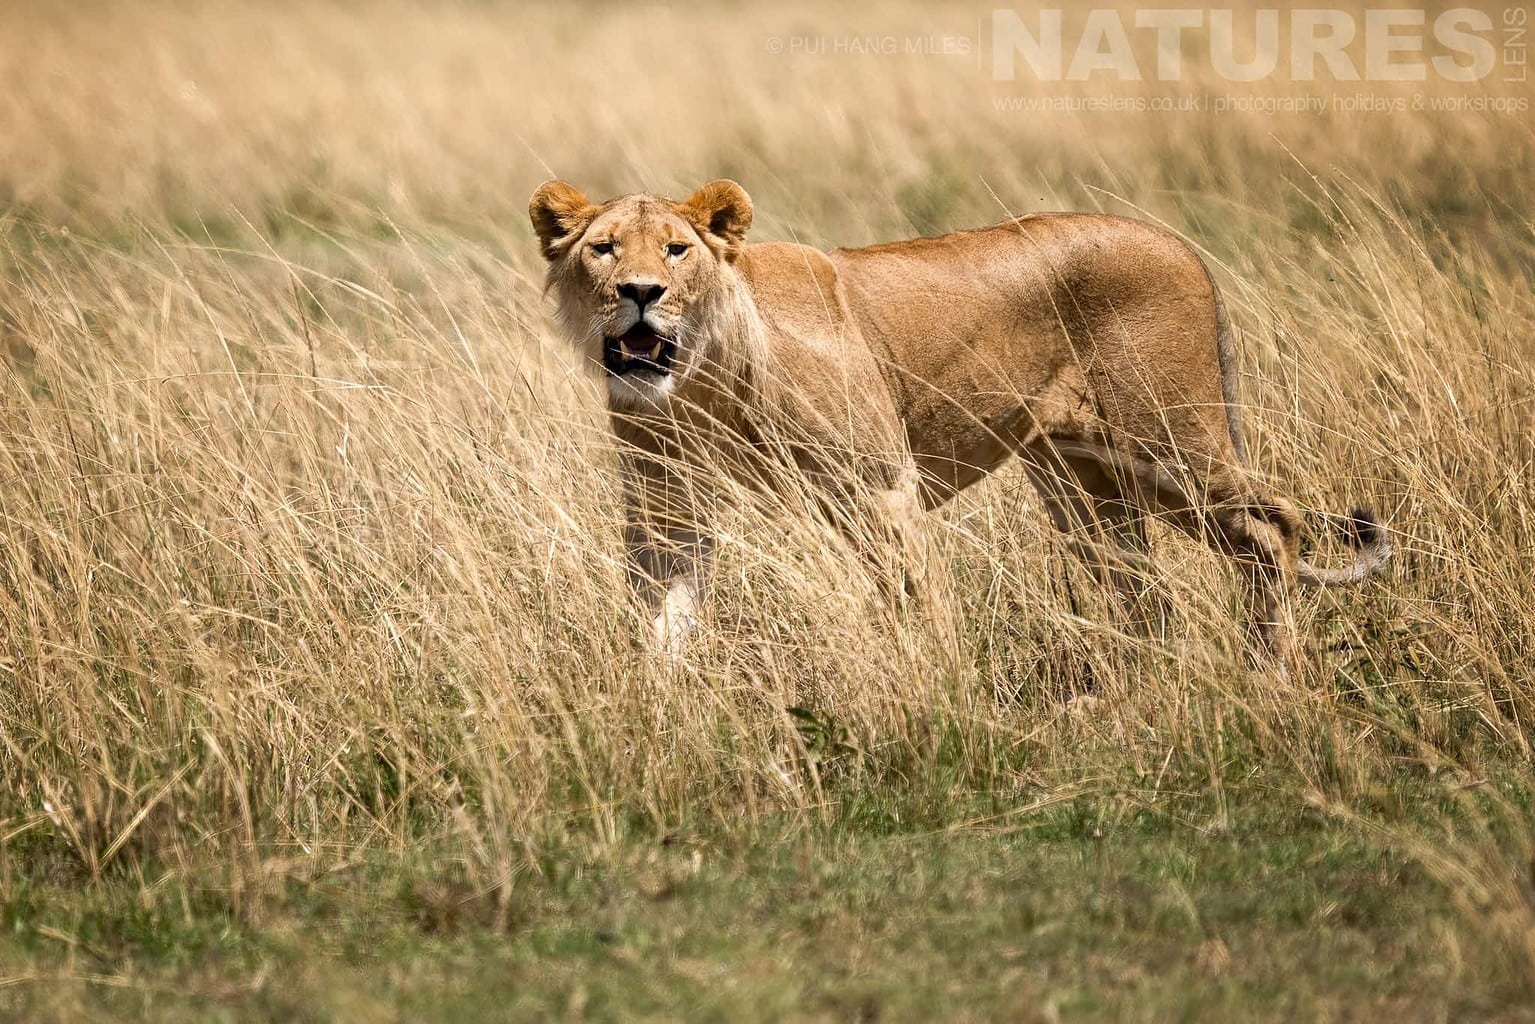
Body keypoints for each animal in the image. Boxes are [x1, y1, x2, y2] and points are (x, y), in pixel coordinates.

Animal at [529, 178, 1390, 663]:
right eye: (603, 250)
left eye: (676, 250)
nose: (640, 292)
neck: (701, 381)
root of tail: (1183, 246)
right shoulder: (666, 510)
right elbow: (665, 619)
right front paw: (659, 711)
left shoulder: (877, 487)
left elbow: (919, 605)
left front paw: (937, 702)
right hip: (1081, 481)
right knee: (1141, 591)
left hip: (1168, 440)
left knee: (1269, 527)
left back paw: (1269, 673)